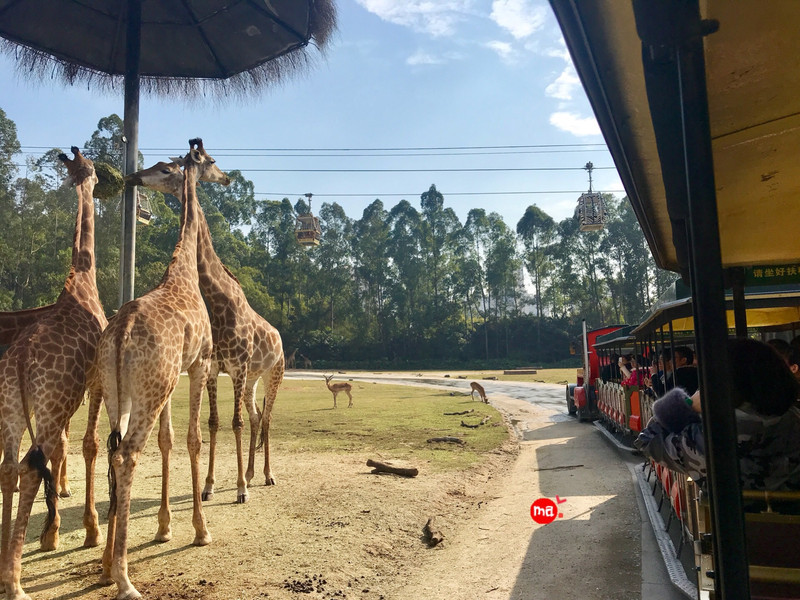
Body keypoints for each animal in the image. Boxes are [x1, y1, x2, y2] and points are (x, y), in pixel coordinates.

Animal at [92, 137, 227, 600]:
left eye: (163, 167)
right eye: (211, 161)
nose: (226, 176)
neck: (182, 272)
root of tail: (120, 335)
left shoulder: (171, 378)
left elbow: (168, 441)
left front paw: (165, 528)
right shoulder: (199, 364)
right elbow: (193, 439)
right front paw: (200, 531)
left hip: (120, 392)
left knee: (112, 451)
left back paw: (105, 566)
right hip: (148, 391)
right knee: (127, 454)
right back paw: (124, 580)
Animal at [125, 155, 284, 502]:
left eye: (165, 169)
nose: (134, 177)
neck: (220, 300)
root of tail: (280, 338)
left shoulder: (237, 367)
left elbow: (235, 423)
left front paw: (240, 490)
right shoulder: (215, 368)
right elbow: (214, 422)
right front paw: (211, 486)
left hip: (273, 373)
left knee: (265, 418)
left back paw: (267, 475)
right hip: (252, 379)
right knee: (256, 416)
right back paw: (251, 473)